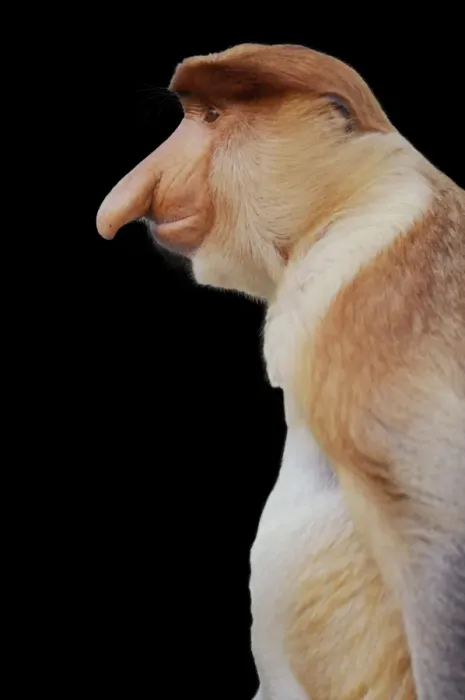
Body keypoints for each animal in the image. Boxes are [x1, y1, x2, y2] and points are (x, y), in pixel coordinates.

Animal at [96, 43, 465, 700]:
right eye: (192, 114)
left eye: (214, 116)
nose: (126, 201)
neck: (354, 196)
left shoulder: (369, 295)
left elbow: (440, 512)